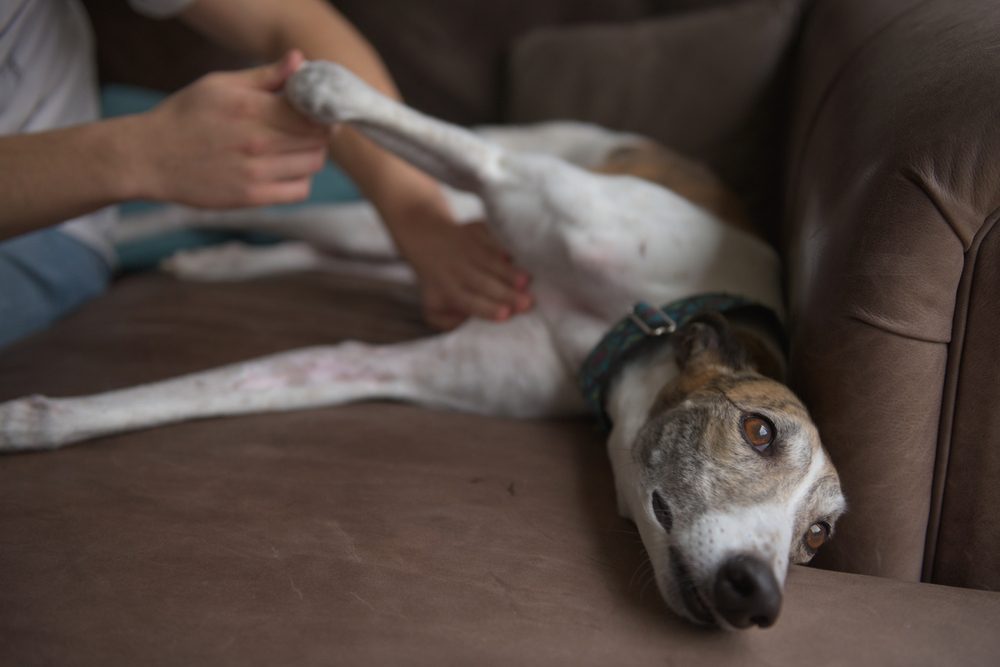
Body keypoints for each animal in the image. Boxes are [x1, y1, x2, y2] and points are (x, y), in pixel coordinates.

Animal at [0, 62, 844, 632]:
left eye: (819, 536)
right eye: (759, 431)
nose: (758, 595)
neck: (643, 320)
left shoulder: (385, 364)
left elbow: (232, 383)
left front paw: (37, 418)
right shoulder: (511, 179)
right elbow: (421, 131)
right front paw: (320, 86)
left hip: (428, 240)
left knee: (336, 250)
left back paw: (217, 263)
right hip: (446, 200)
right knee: (237, 206)